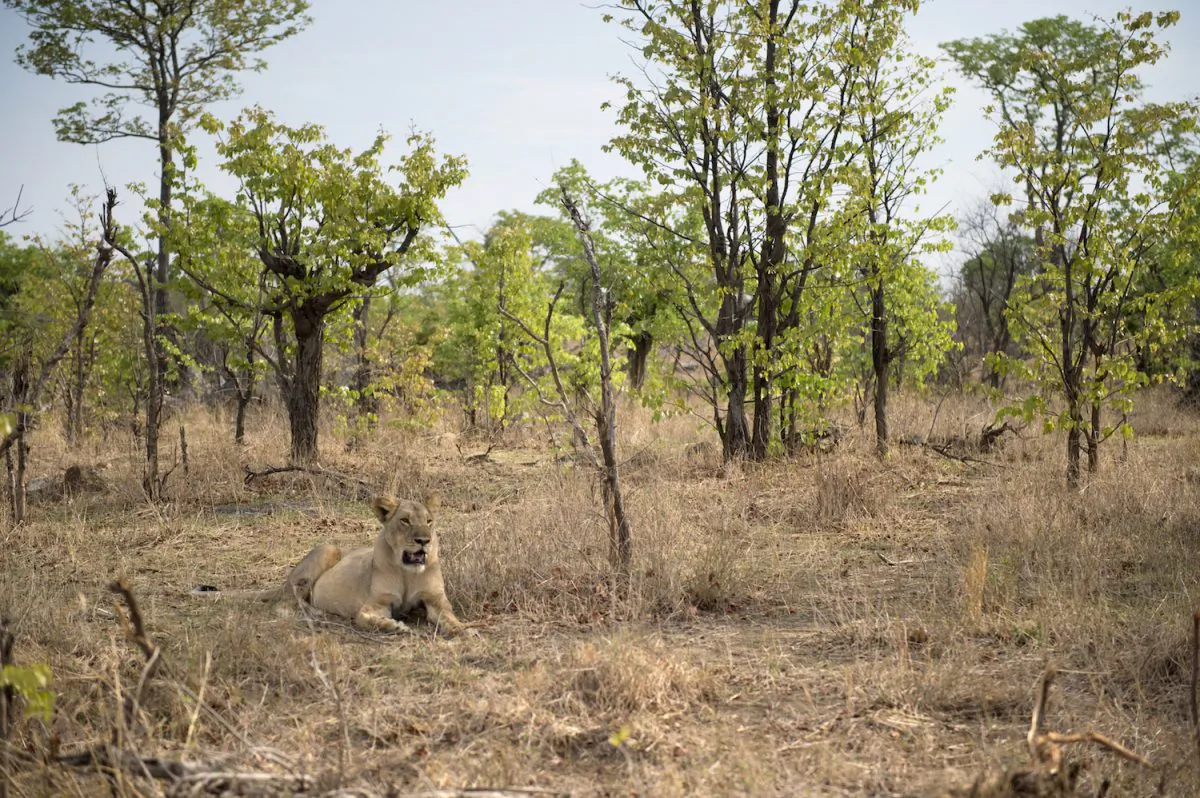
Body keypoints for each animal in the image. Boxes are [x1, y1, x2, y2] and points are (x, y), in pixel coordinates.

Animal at [195, 494, 467, 635]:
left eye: (429, 521)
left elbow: (449, 617)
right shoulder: (374, 604)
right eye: (405, 521)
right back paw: (317, 613)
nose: (424, 541)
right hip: (328, 549)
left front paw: (462, 629)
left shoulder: (436, 600)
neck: (407, 573)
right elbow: (366, 619)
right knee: (288, 602)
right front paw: (393, 625)